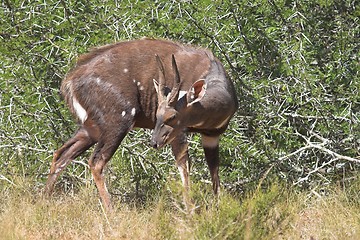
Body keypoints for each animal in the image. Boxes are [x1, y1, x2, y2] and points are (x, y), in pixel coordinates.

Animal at [45, 39, 238, 210]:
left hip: (91, 128)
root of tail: (70, 82)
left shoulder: (212, 136)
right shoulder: (179, 134)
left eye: (172, 116)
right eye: (158, 114)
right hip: (118, 121)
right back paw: (111, 212)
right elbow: (185, 169)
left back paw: (44, 200)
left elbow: (214, 174)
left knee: (61, 154)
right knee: (95, 161)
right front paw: (190, 211)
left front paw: (217, 209)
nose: (154, 142)